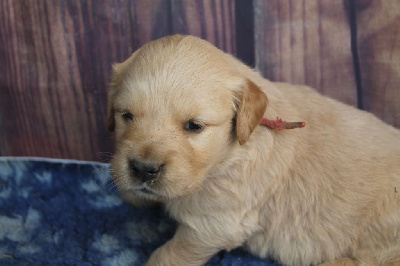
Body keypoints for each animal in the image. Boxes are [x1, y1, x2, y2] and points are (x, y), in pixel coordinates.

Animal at [107, 35, 400, 266]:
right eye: (127, 116)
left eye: (193, 126)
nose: (144, 169)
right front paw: (133, 193)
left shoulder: (215, 224)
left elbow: (167, 256)